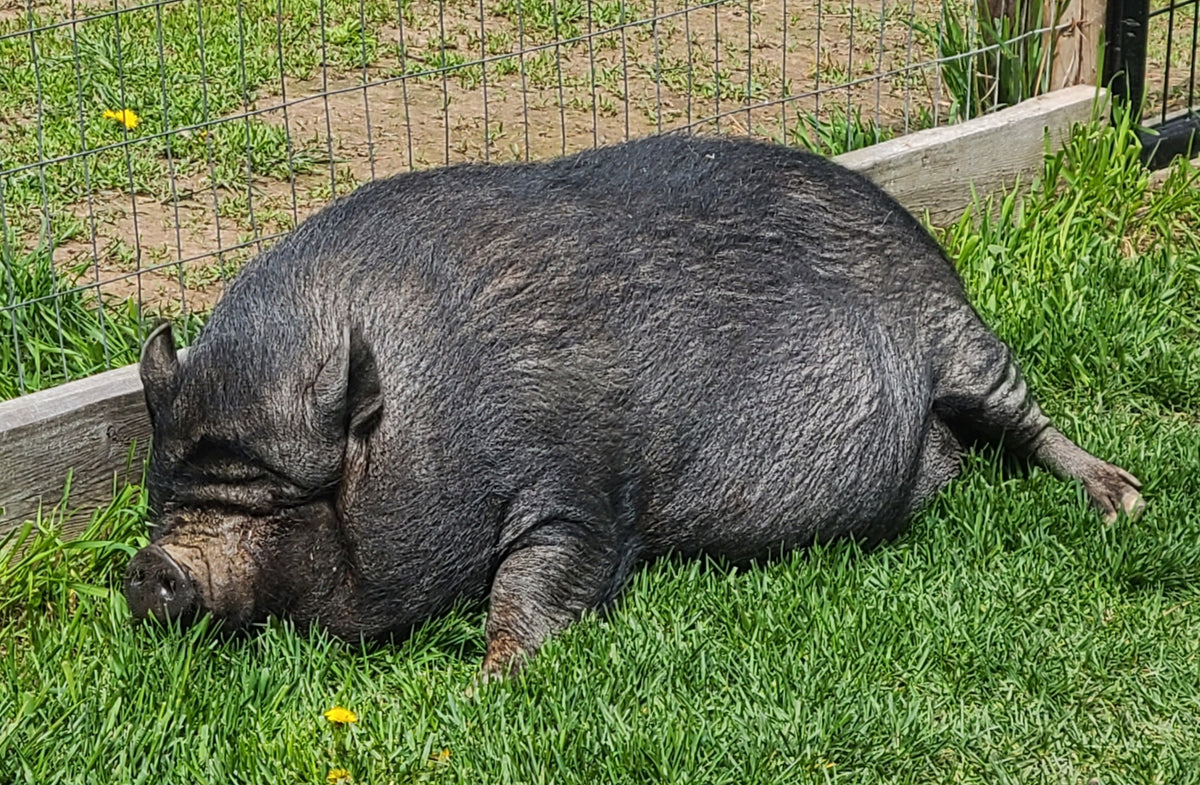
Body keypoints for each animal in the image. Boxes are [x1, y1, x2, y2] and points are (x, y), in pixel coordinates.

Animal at [126, 133, 1147, 676]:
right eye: (167, 493)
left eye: (284, 503)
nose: (150, 567)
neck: (427, 418)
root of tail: (919, 228)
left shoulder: (583, 486)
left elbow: (541, 579)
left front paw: (485, 685)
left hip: (957, 334)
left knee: (1027, 416)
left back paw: (1124, 502)